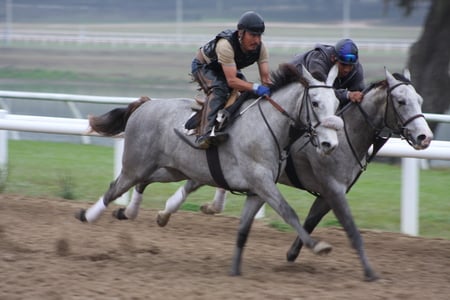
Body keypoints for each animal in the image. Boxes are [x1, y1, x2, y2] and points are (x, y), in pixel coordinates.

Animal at [74, 63, 342, 276]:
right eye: (315, 103)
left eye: (337, 102)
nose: (330, 144)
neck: (269, 126)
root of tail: (145, 105)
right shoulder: (261, 181)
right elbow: (289, 212)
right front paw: (319, 246)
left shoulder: (258, 190)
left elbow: (245, 228)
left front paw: (235, 269)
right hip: (136, 164)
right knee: (115, 188)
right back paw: (88, 216)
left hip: (173, 169)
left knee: (143, 182)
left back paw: (130, 212)